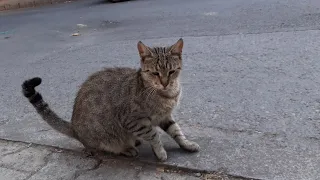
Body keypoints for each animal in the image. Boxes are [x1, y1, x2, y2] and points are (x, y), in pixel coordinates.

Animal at [21, 38, 199, 161]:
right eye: (155, 73)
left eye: (172, 72)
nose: (164, 83)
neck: (166, 94)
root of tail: (74, 128)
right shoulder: (135, 121)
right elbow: (153, 135)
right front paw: (160, 152)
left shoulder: (165, 116)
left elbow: (176, 131)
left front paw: (187, 144)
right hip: (105, 137)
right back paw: (127, 149)